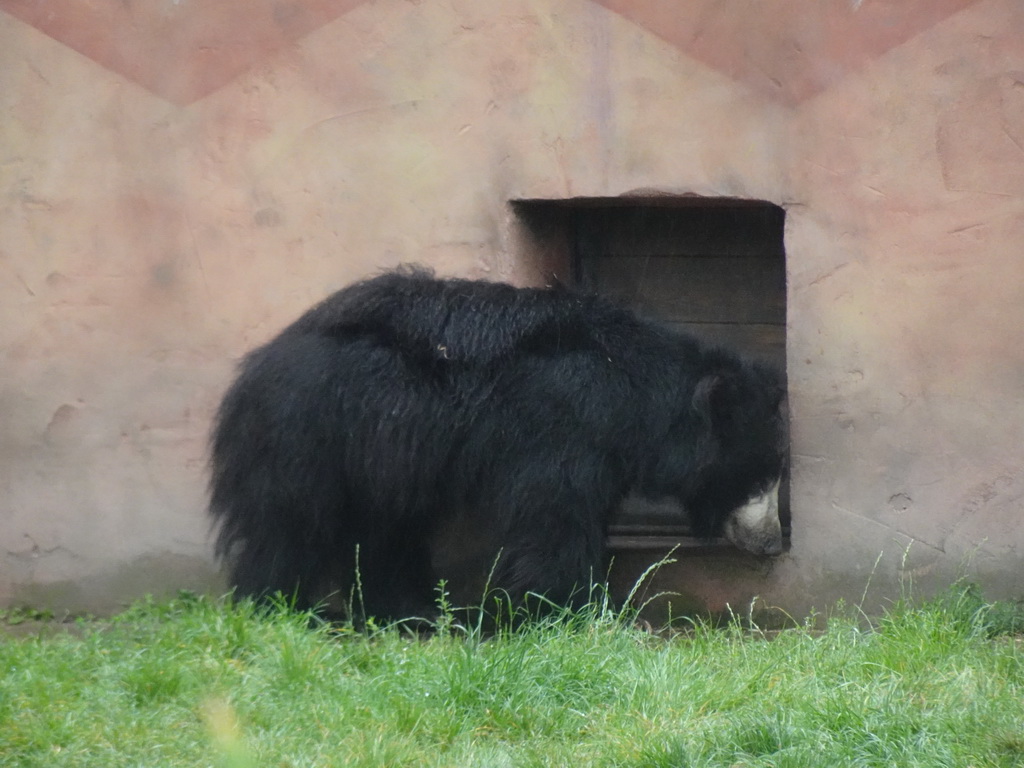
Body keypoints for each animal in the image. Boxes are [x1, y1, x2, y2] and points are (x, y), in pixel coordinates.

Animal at [205, 268, 782, 622]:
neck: (633, 392)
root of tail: (257, 365)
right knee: (289, 523)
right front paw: (561, 611)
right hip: (309, 434)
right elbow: (553, 520)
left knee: (382, 532)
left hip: (378, 457)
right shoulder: (562, 428)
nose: (772, 541)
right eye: (756, 478)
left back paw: (409, 612)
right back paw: (282, 608)